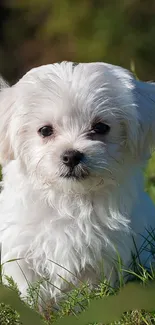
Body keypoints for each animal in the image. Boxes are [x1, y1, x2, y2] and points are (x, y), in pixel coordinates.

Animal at [0, 61, 155, 304]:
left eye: (100, 127)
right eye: (45, 130)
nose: (71, 156)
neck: (70, 199)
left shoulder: (103, 255)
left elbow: (89, 290)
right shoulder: (22, 250)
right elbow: (30, 287)